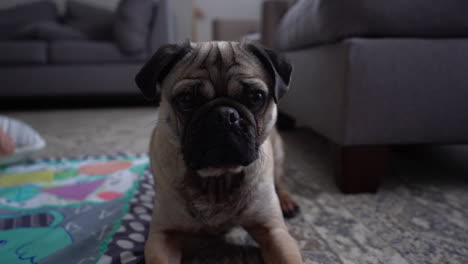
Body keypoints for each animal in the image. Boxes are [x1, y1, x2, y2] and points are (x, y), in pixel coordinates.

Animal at [135, 41, 304, 264]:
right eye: (186, 99)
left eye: (255, 97)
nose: (224, 115)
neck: (217, 180)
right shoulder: (162, 236)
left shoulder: (273, 231)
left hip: (278, 153)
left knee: (280, 179)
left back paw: (287, 201)